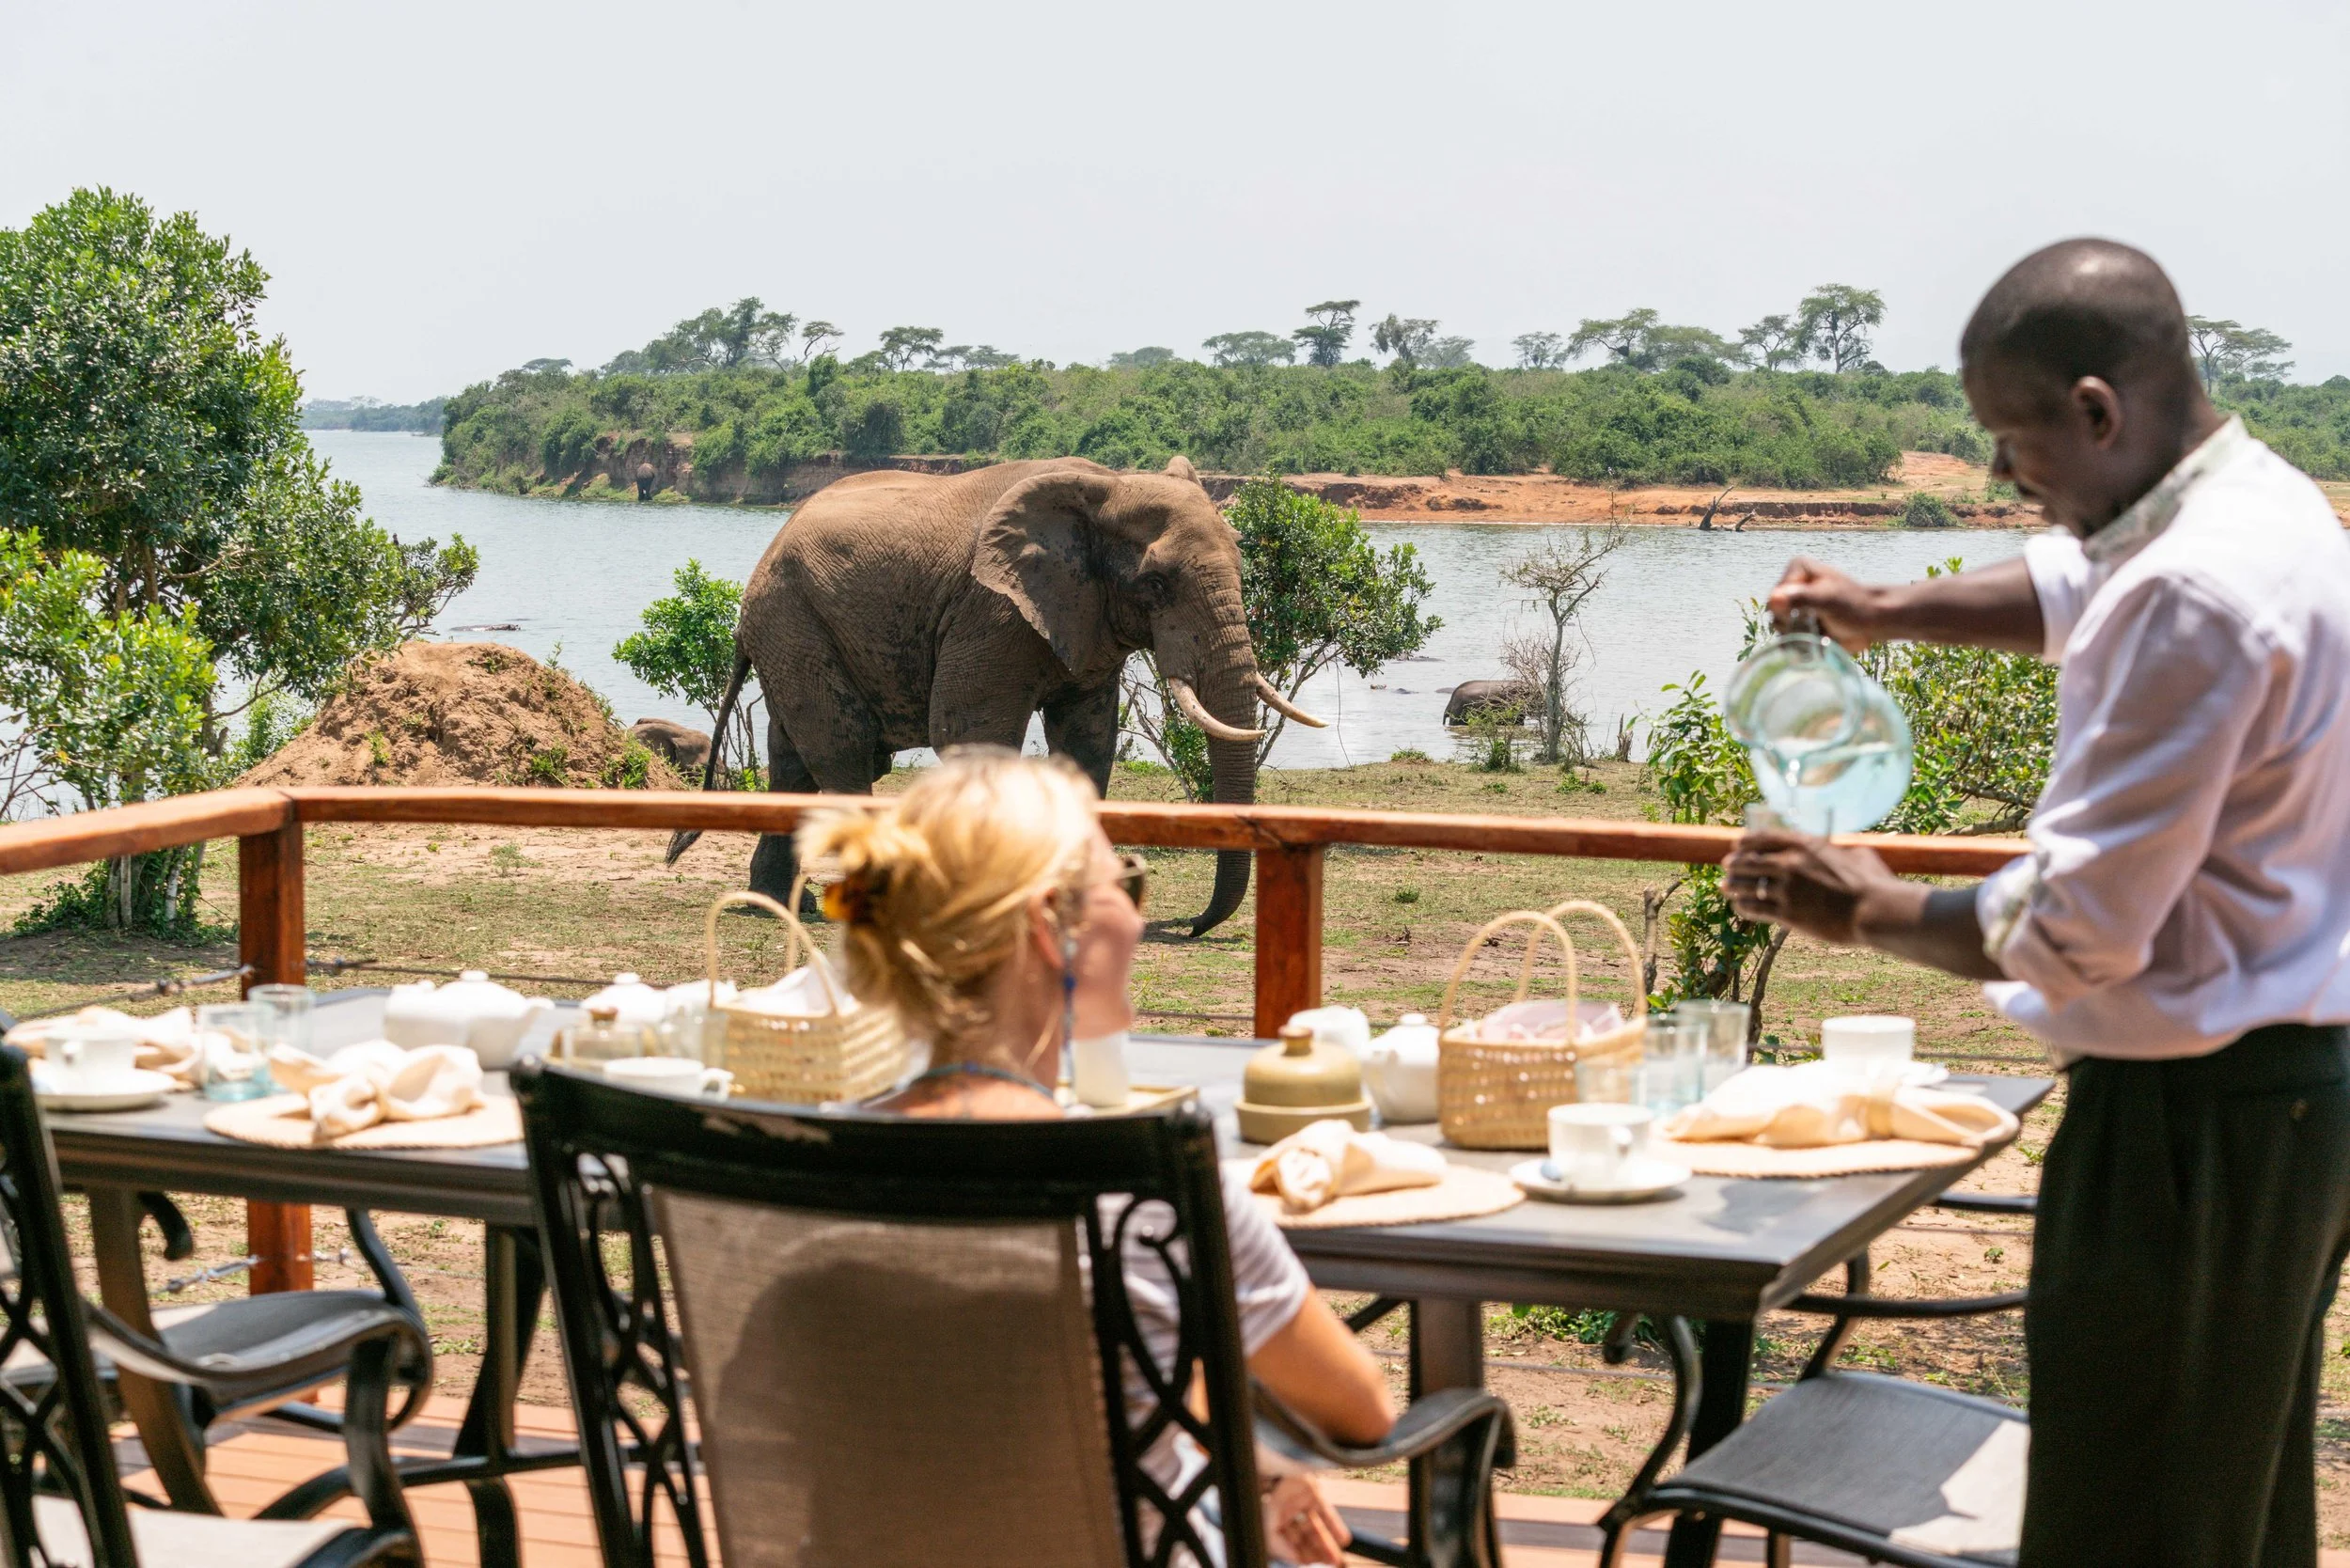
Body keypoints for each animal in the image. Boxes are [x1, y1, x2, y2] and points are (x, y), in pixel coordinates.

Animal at [666, 455, 1323, 935]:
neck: (1107, 484)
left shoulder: (1082, 618)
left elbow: (1086, 742)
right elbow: (968, 733)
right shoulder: (991, 611)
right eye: (1156, 584)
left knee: (792, 759)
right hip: (791, 621)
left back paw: (776, 905)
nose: (1192, 927)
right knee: (842, 751)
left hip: (793, 632)